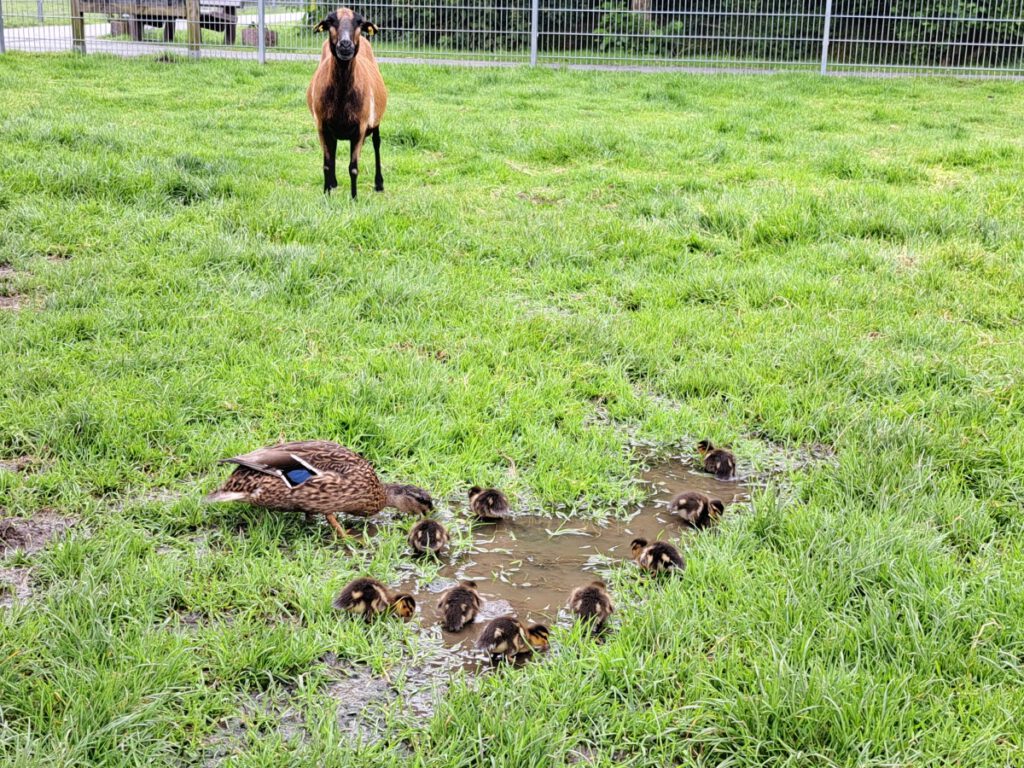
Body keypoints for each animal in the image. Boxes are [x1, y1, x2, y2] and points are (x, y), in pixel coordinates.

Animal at [305, 6, 385, 198]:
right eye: (330, 21)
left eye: (360, 22)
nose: (345, 45)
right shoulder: (322, 125)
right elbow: (327, 164)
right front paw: (326, 195)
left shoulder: (360, 128)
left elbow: (353, 168)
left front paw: (354, 198)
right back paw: (333, 184)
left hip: (375, 121)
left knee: (377, 144)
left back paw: (379, 184)